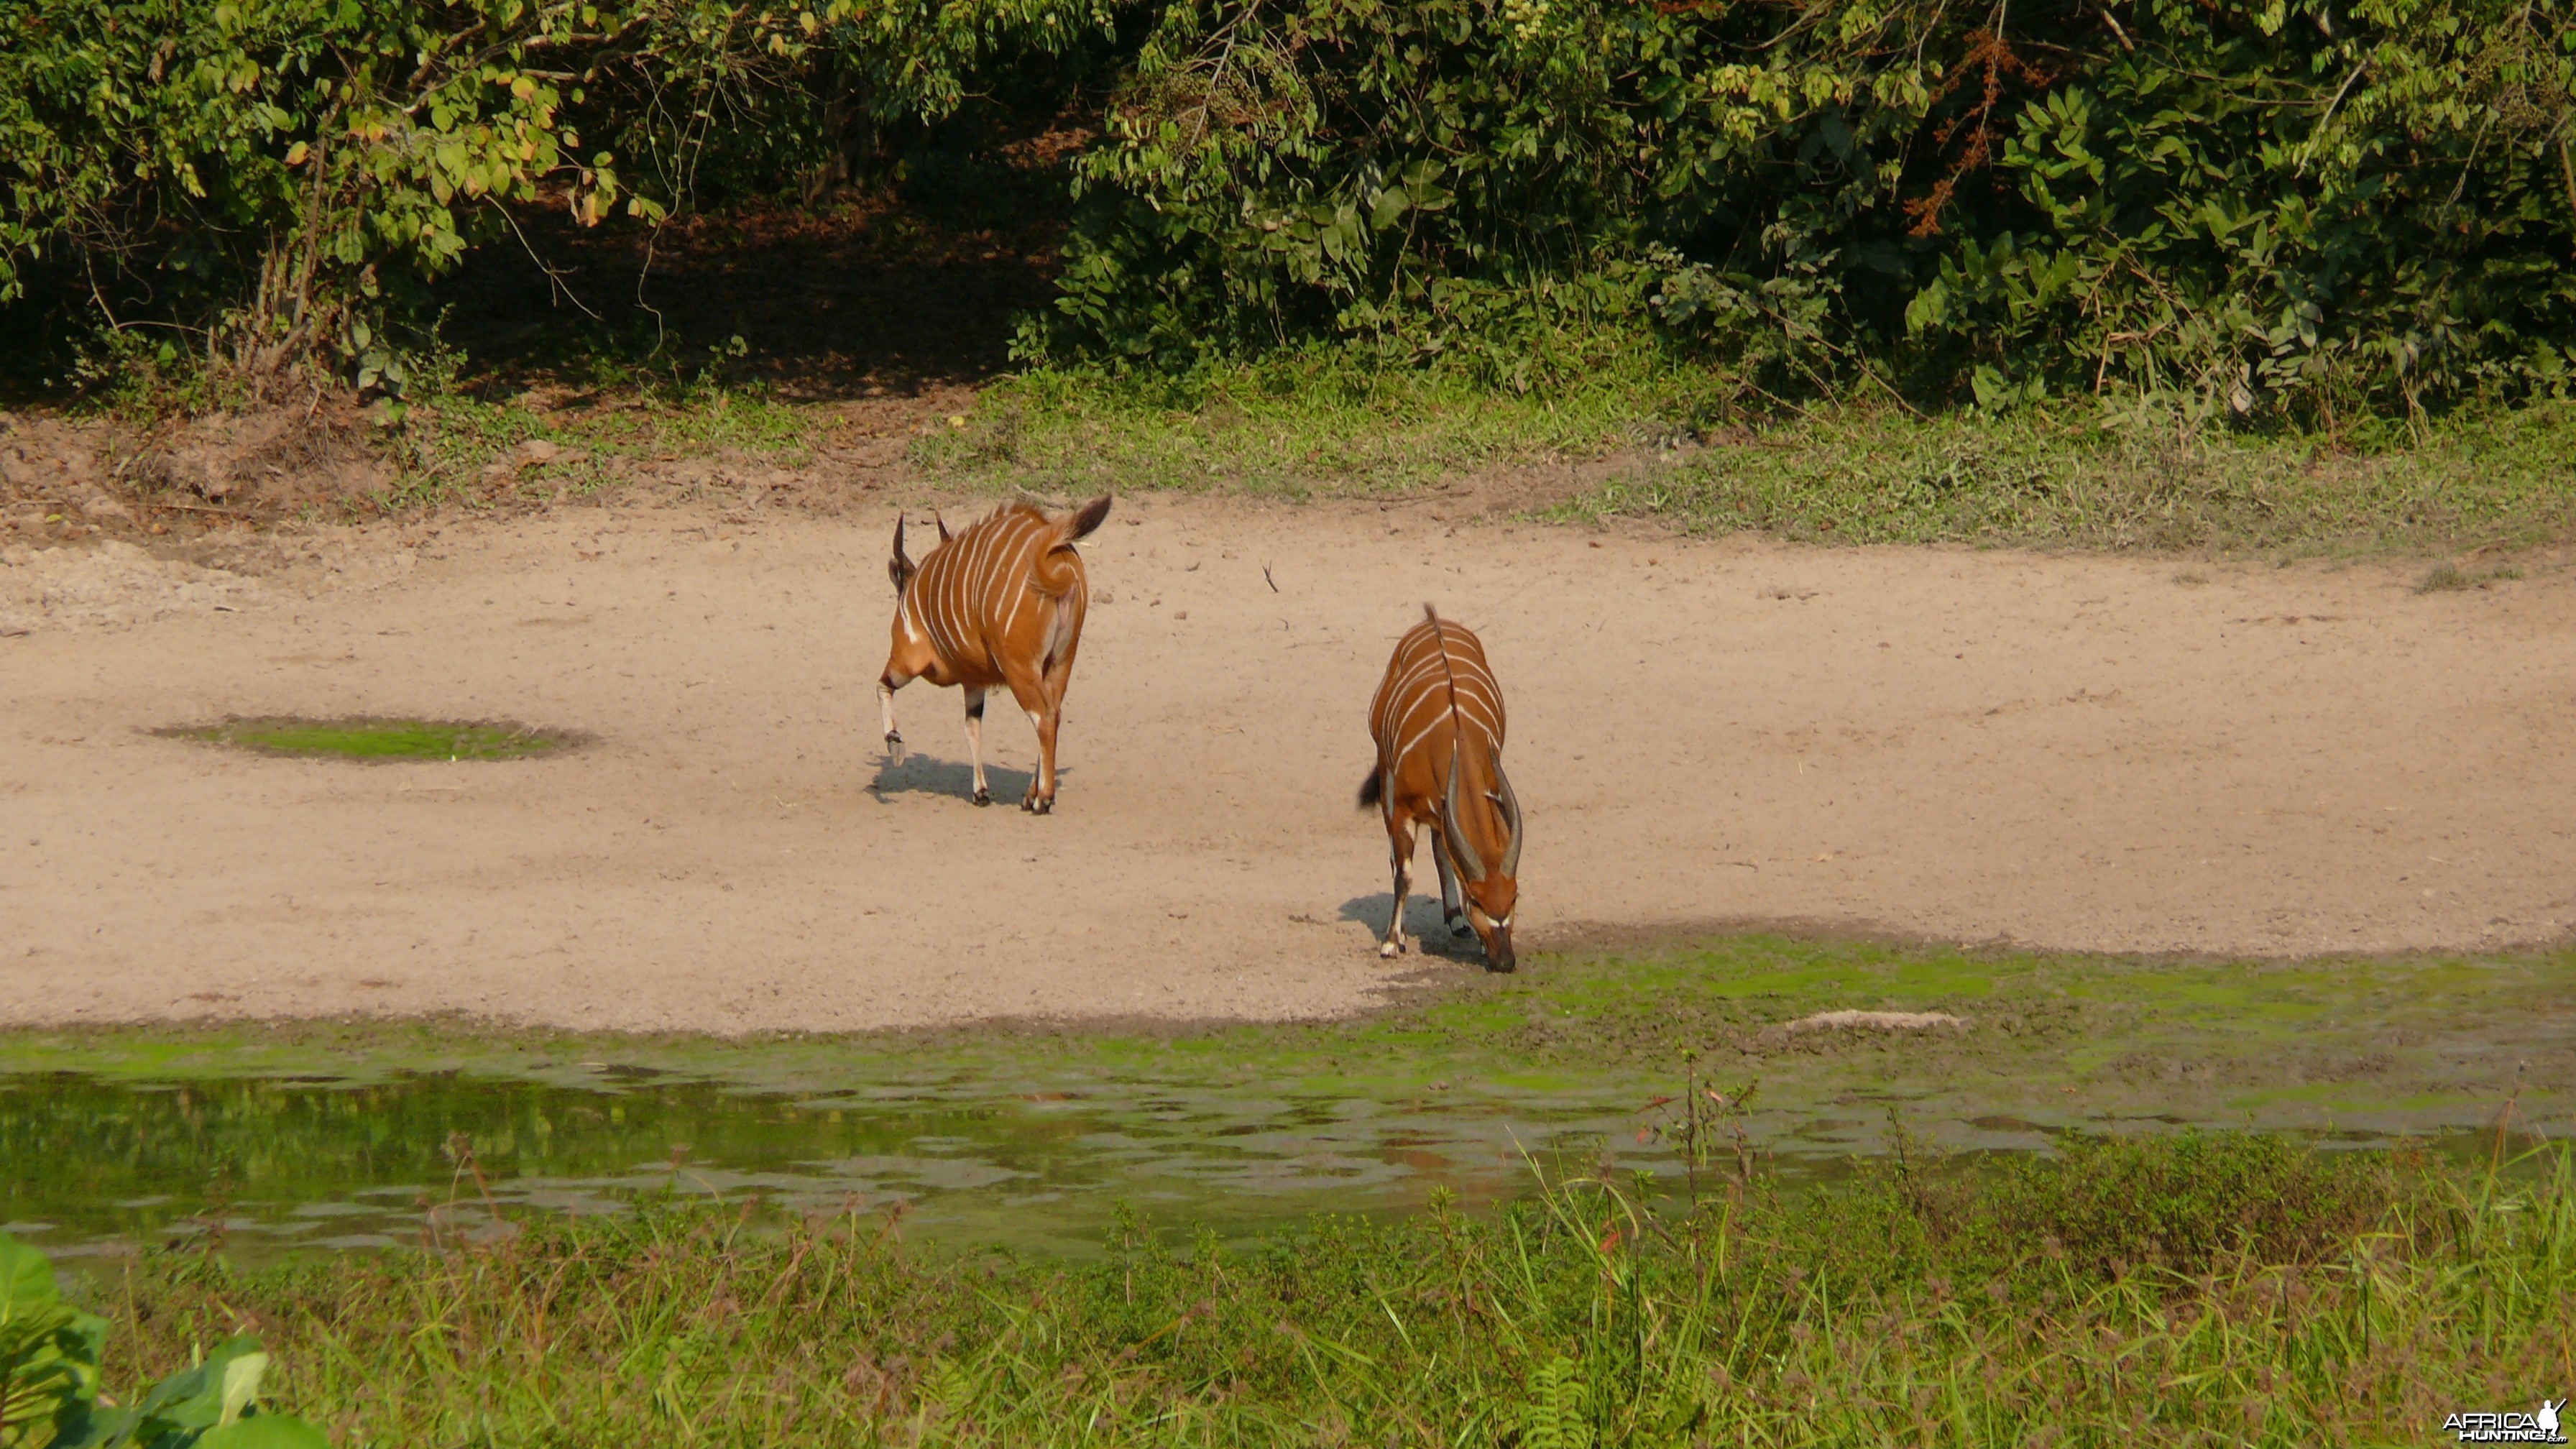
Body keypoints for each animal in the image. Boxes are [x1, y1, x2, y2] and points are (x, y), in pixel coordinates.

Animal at [880, 492, 1113, 814]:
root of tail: (1055, 555)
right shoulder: (974, 682)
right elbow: (972, 727)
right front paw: (980, 792)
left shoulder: (908, 657)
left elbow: (883, 686)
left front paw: (895, 743)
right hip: (1060, 663)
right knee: (1054, 714)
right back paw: (1031, 795)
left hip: (1018, 667)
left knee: (1043, 717)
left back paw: (1043, 798)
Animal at [1360, 598, 1514, 969]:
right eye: (1477, 900)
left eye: (1514, 897)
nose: (1505, 960)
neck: (1455, 736)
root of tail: (1432, 621)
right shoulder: (1403, 809)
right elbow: (1404, 874)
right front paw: (1391, 942)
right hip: (1385, 773)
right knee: (1398, 858)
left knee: (1439, 847)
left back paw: (1454, 920)